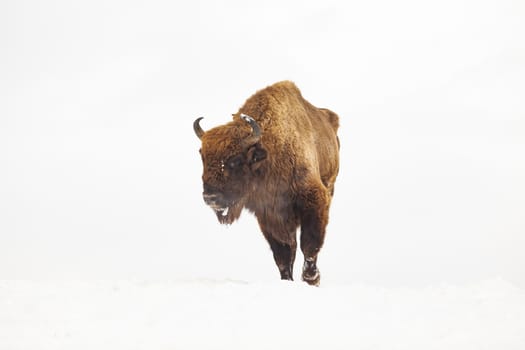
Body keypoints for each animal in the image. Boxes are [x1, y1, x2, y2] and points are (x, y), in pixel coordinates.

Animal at [193, 80, 340, 284]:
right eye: (203, 157)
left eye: (235, 160)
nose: (210, 197)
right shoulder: (269, 215)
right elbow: (283, 254)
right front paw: (287, 280)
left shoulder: (314, 201)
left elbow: (309, 243)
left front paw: (311, 278)